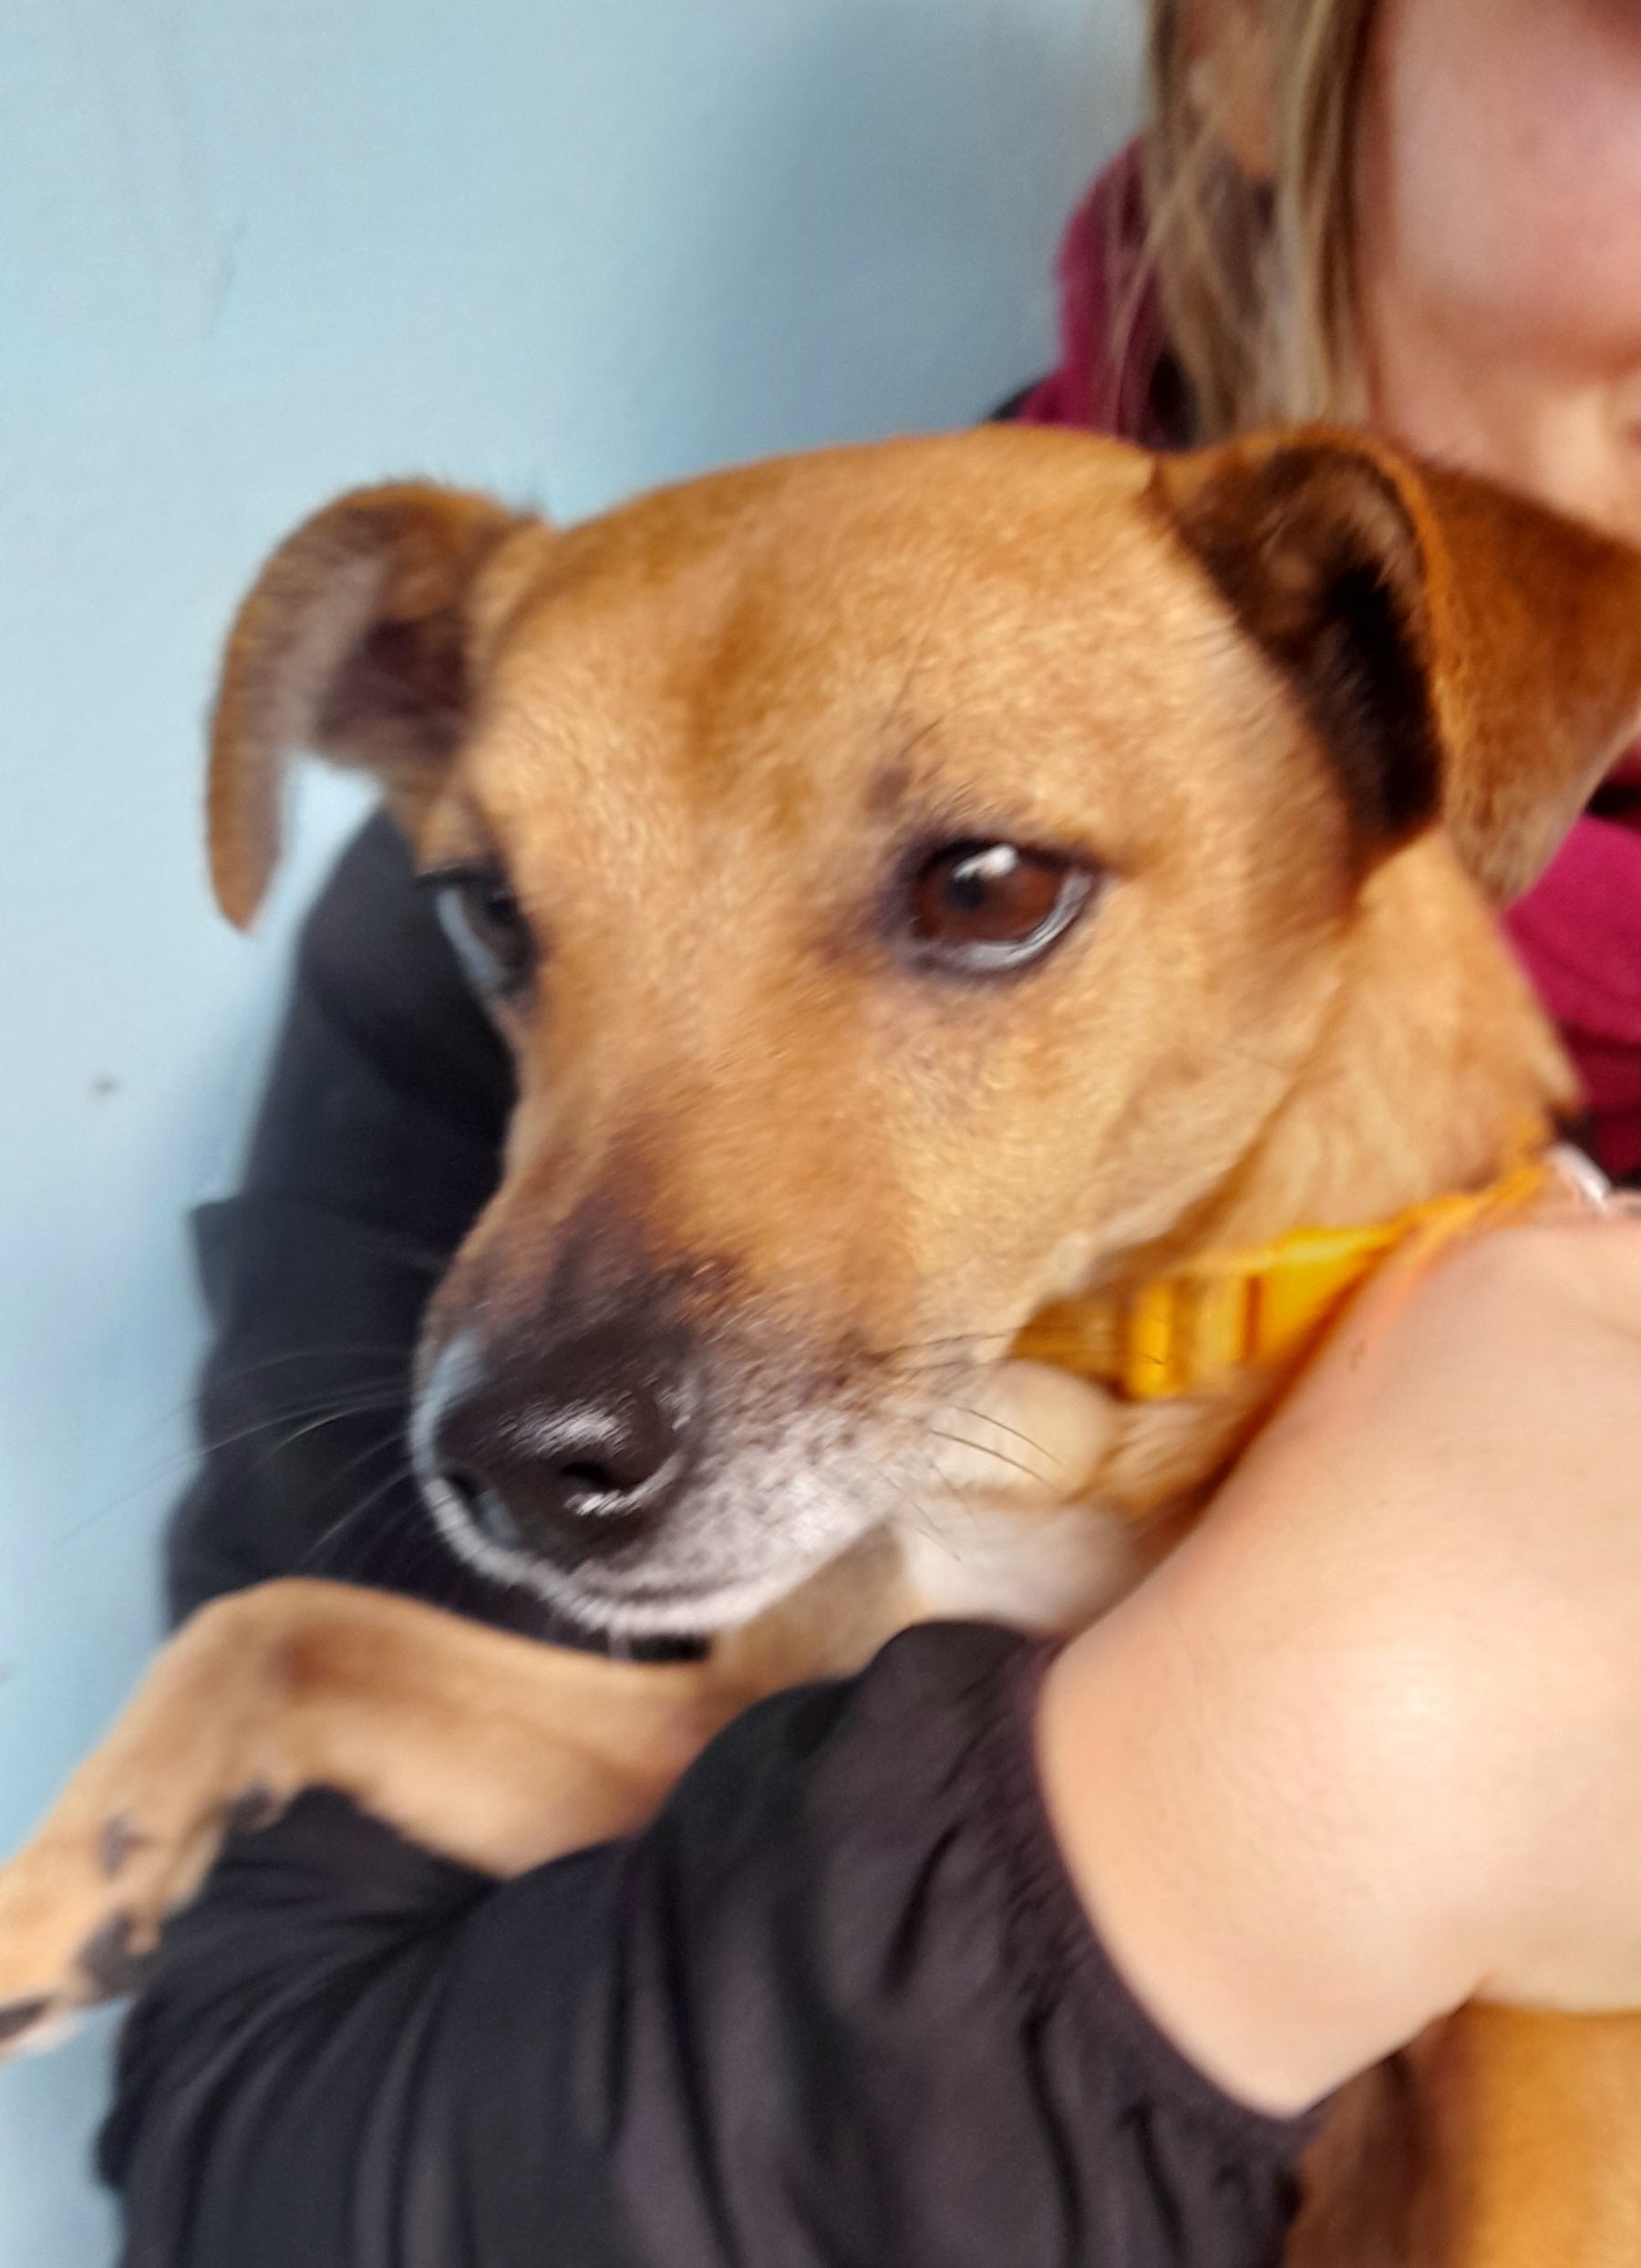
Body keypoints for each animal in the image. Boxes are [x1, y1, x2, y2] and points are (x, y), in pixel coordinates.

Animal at [4, 422, 1641, 2266]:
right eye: (485, 909)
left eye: (991, 888)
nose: (512, 1461)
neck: (1046, 1419)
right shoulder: (690, 1747)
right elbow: (288, 1622)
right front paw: (69, 1881)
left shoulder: (1547, 2048)